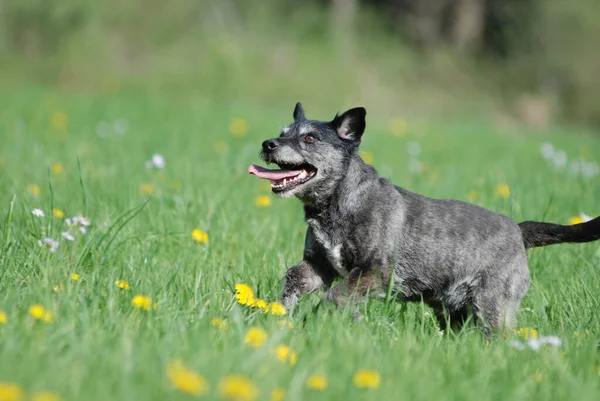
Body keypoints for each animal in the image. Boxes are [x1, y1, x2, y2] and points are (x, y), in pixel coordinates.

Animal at [247, 101, 600, 332]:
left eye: (309, 138)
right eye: (283, 131)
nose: (268, 143)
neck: (340, 201)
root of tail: (518, 230)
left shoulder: (374, 272)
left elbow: (336, 296)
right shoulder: (319, 266)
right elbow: (295, 279)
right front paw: (281, 314)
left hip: (492, 305)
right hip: (453, 310)